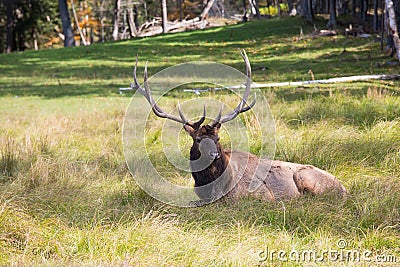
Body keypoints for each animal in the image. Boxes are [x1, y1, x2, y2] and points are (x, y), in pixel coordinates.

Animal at [132, 50, 346, 205]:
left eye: (217, 138)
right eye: (198, 139)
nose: (214, 154)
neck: (213, 186)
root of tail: (344, 187)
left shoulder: (260, 194)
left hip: (304, 176)